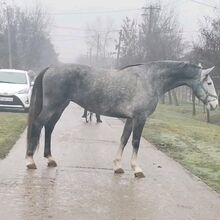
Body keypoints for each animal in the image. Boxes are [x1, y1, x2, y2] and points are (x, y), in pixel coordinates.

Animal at [25, 61, 218, 178]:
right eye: (209, 83)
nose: (215, 105)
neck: (150, 79)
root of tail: (51, 68)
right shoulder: (140, 118)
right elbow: (135, 142)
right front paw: (137, 169)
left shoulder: (130, 119)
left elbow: (124, 140)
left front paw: (117, 166)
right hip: (52, 107)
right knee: (38, 125)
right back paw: (30, 161)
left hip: (59, 107)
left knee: (49, 128)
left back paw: (50, 159)